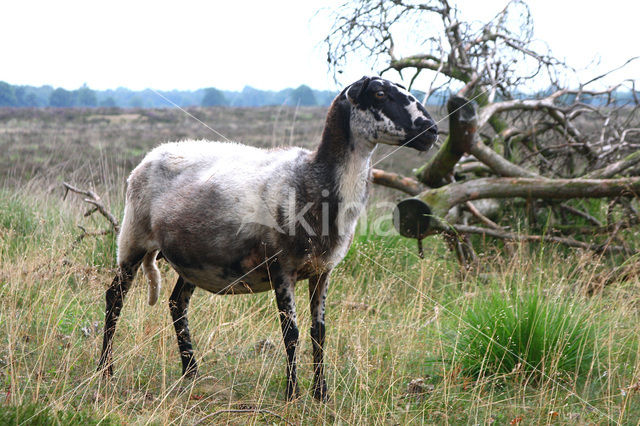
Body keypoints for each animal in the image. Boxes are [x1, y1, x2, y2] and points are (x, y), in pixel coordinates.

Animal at [97, 75, 438, 400]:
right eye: (380, 94)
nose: (432, 131)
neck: (314, 177)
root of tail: (152, 154)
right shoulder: (282, 267)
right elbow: (291, 333)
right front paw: (292, 394)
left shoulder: (323, 270)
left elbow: (319, 332)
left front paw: (321, 395)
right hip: (133, 236)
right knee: (114, 298)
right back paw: (105, 372)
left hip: (192, 259)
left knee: (176, 303)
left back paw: (192, 374)